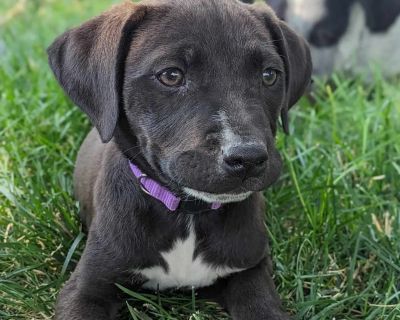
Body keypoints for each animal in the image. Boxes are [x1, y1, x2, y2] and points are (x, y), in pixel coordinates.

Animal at [46, 0, 310, 320]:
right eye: (171, 75)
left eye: (269, 75)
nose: (247, 158)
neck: (188, 214)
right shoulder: (86, 287)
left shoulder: (250, 268)